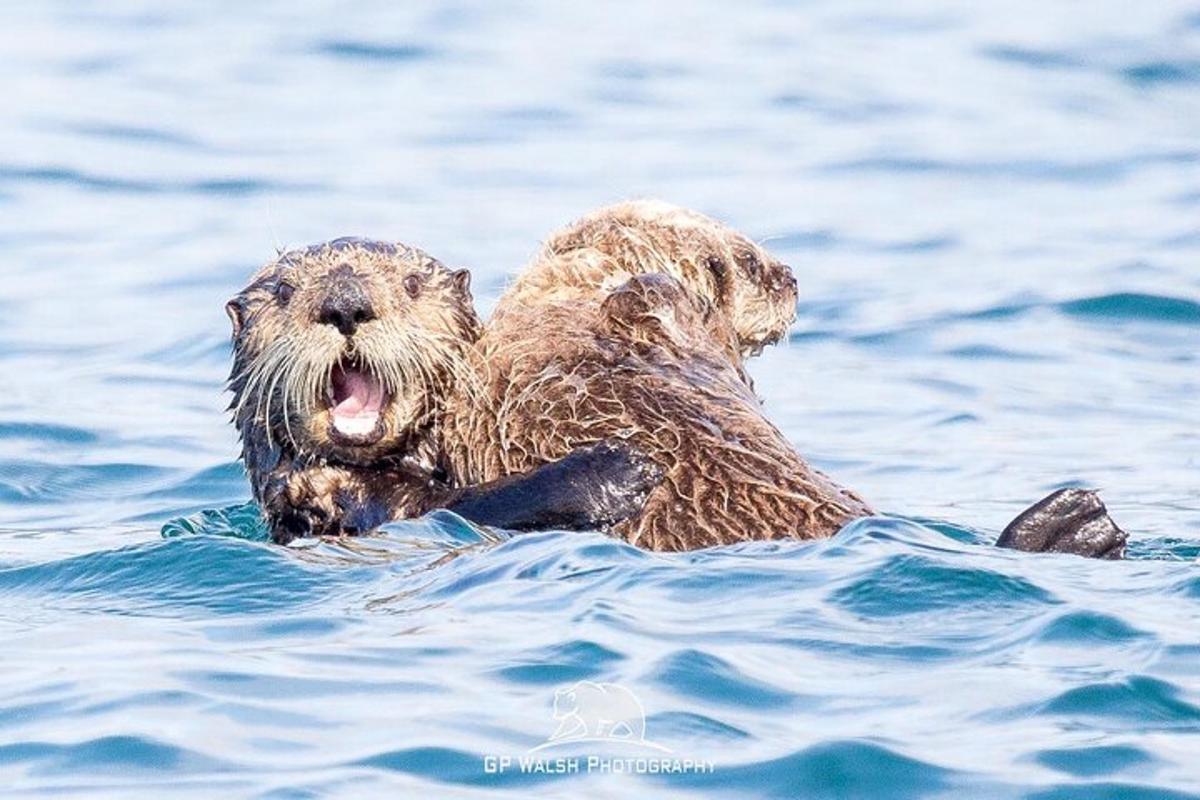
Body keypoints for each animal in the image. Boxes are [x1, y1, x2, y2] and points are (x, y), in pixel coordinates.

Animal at [220, 235, 662, 542]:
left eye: (412, 284)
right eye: (283, 291)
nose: (345, 304)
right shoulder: (331, 491)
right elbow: (476, 504)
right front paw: (624, 465)